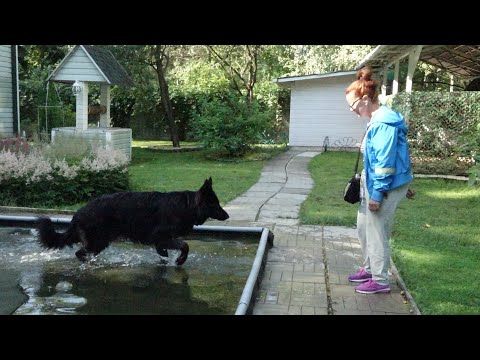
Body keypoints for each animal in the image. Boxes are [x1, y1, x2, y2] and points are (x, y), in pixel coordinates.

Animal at [36, 179, 228, 266]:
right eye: (215, 204)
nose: (227, 216)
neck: (187, 206)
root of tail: (78, 213)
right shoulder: (161, 236)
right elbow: (185, 245)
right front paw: (180, 260)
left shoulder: (160, 242)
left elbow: (164, 253)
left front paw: (166, 262)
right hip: (98, 241)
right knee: (80, 253)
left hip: (99, 243)